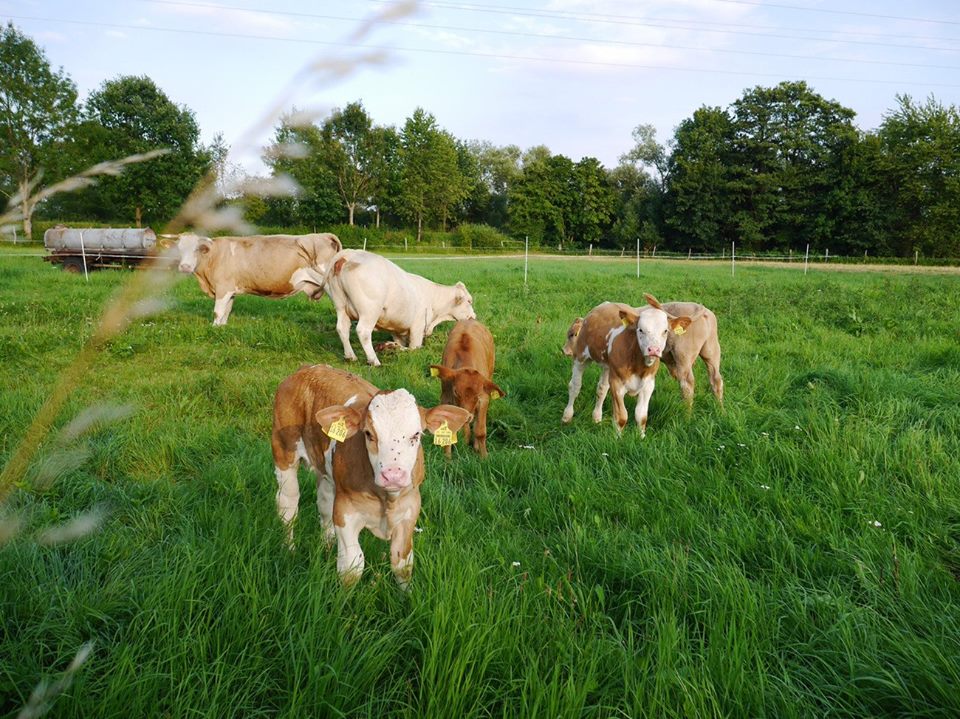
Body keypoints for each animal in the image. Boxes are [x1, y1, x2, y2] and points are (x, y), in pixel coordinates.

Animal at [178, 233, 344, 326]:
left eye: (197, 249)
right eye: (179, 249)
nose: (184, 266)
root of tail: (324, 235)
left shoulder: (222, 288)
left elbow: (217, 311)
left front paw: (214, 328)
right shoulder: (230, 289)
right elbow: (226, 310)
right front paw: (222, 328)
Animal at [272, 366, 470, 592]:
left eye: (417, 435)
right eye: (368, 434)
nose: (393, 475)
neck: (386, 499)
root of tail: (307, 369)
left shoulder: (410, 508)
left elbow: (402, 563)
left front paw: (406, 596)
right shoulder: (345, 510)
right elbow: (352, 566)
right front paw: (344, 600)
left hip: (325, 470)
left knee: (324, 504)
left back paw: (327, 546)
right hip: (283, 451)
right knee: (288, 506)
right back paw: (289, 550)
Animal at [426, 322, 502, 462]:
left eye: (477, 395)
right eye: (456, 392)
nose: (468, 416)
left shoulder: (484, 398)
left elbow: (480, 431)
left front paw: (484, 456)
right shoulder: (446, 398)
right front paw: (447, 458)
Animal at [564, 298, 688, 434]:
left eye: (665, 331)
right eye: (640, 330)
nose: (653, 350)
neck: (638, 365)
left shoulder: (648, 385)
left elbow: (641, 417)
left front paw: (641, 437)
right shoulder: (617, 384)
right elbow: (621, 417)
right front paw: (618, 437)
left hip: (607, 367)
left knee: (602, 389)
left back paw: (597, 418)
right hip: (580, 356)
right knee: (575, 386)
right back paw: (567, 417)